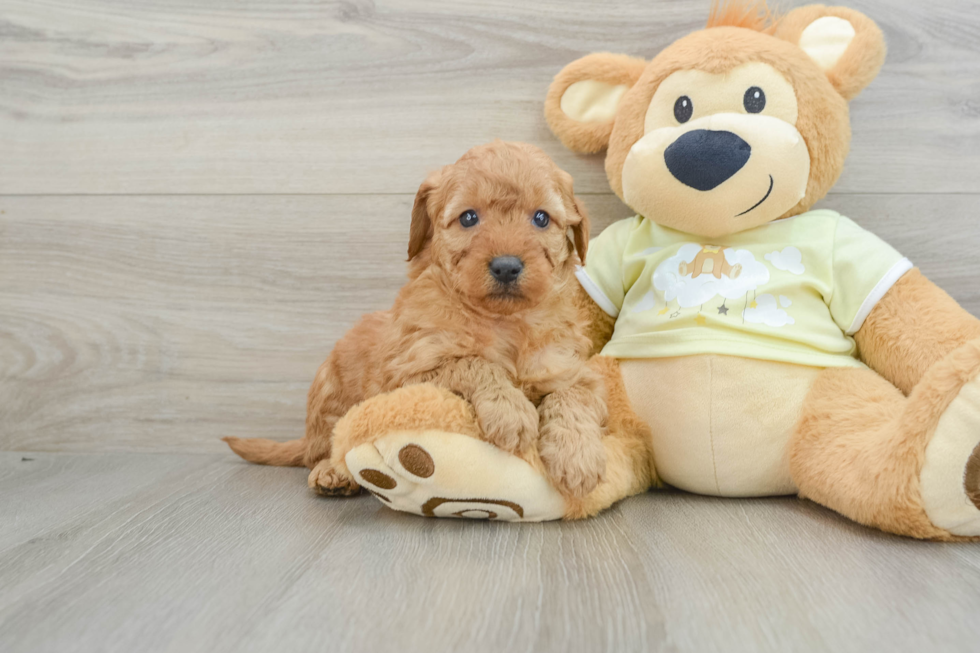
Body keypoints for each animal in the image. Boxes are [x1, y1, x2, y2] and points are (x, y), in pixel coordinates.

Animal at [227, 140, 608, 496]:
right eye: (468, 217)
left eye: (541, 218)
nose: (506, 266)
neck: (504, 322)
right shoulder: (411, 371)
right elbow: (474, 362)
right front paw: (510, 411)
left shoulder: (570, 369)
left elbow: (573, 397)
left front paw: (577, 457)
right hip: (329, 391)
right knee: (325, 447)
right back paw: (332, 472)